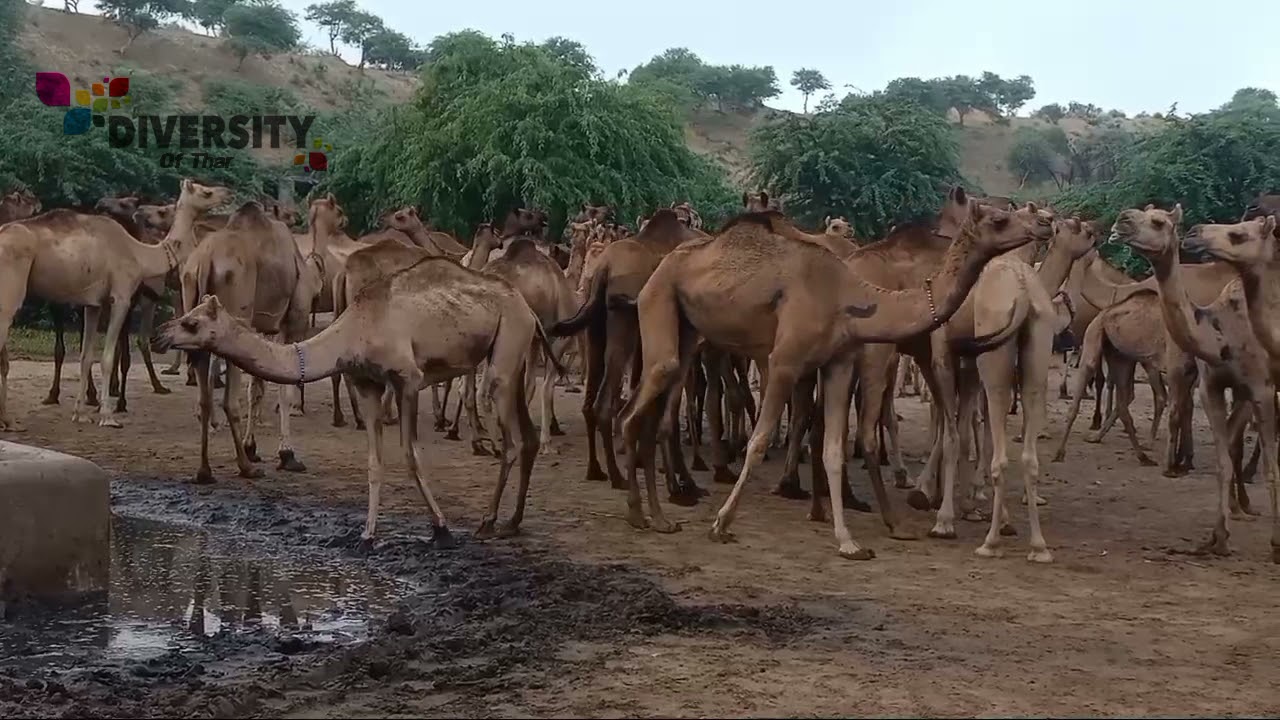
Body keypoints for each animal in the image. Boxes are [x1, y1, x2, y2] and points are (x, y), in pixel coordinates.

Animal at [0, 179, 228, 430]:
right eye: (206, 192)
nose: (227, 192)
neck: (140, 254)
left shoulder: (93, 304)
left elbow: (86, 356)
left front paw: (80, 413)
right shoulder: (120, 297)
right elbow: (107, 358)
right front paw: (108, 416)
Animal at [178, 197, 314, 484]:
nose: (298, 217)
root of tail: (205, 261)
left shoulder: (263, 326)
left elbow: (257, 387)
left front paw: (253, 447)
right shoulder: (293, 321)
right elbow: (284, 387)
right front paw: (287, 455)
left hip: (192, 305)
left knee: (205, 398)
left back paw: (205, 471)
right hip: (234, 318)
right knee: (229, 401)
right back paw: (246, 468)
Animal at [617, 200, 1052, 558]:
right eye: (999, 219)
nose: (1042, 224)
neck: (850, 298)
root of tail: (665, 261)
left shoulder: (838, 363)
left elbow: (831, 448)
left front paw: (848, 541)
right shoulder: (785, 360)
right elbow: (759, 442)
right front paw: (722, 523)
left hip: (688, 329)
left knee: (649, 409)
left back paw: (659, 518)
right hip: (659, 299)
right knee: (637, 407)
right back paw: (638, 512)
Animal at [1110, 205, 1278, 562]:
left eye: (1159, 221)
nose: (1122, 220)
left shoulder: (1261, 388)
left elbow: (1271, 467)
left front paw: (1275, 544)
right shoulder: (1213, 387)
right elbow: (1224, 459)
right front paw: (1218, 539)